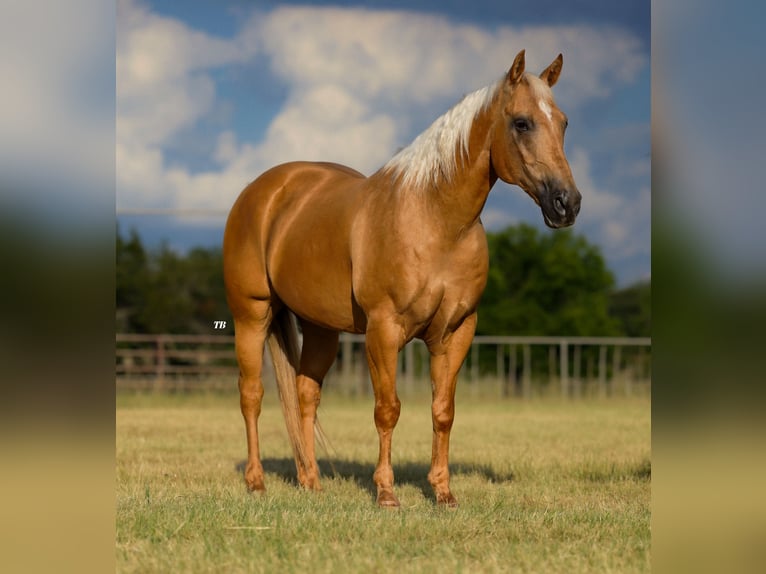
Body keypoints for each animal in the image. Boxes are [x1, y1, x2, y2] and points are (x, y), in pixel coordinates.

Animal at [225, 50, 584, 508]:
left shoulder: (456, 331)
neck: (435, 220)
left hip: (321, 328)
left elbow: (443, 411)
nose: (566, 204)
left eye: (564, 122)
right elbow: (387, 409)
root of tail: (262, 191)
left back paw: (311, 481)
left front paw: (443, 493)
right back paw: (256, 481)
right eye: (522, 122)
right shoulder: (384, 329)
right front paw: (386, 493)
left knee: (305, 394)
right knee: (251, 395)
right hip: (251, 316)